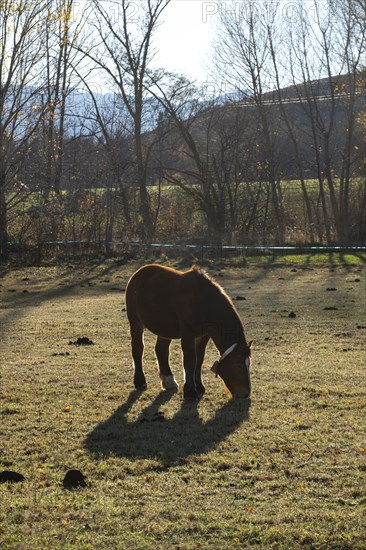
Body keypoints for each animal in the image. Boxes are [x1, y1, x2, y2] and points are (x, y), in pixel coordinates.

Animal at [125, 264, 252, 398]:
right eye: (239, 365)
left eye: (249, 364)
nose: (245, 393)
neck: (204, 302)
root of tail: (138, 272)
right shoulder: (188, 335)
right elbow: (190, 361)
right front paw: (190, 391)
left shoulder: (203, 336)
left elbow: (199, 360)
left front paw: (199, 386)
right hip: (135, 322)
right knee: (138, 349)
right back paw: (140, 381)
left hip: (164, 329)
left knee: (161, 350)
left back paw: (168, 381)